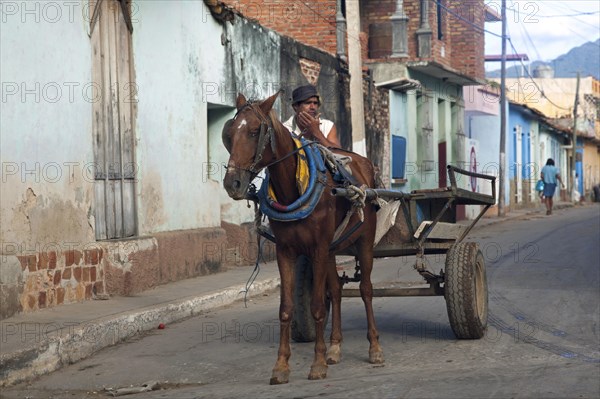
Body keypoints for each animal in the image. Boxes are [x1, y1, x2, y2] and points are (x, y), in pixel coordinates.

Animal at [221, 92, 384, 386]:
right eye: (229, 133)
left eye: (254, 131)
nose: (233, 183)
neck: (292, 189)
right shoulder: (287, 251)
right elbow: (286, 308)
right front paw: (281, 366)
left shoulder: (317, 248)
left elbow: (318, 306)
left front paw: (317, 365)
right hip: (331, 249)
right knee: (337, 291)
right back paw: (335, 347)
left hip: (363, 242)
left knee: (366, 290)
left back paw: (374, 348)